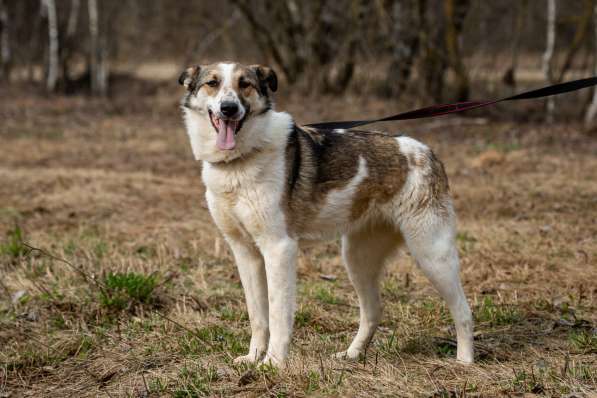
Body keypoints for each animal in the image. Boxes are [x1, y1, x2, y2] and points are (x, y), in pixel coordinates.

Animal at [179, 60, 472, 366]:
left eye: (244, 84)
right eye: (212, 83)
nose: (229, 108)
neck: (240, 160)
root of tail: (428, 152)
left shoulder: (279, 248)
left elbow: (278, 314)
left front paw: (273, 363)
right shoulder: (245, 253)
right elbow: (258, 315)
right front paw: (253, 357)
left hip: (432, 254)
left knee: (463, 311)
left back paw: (464, 361)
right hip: (357, 258)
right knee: (373, 311)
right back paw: (352, 354)